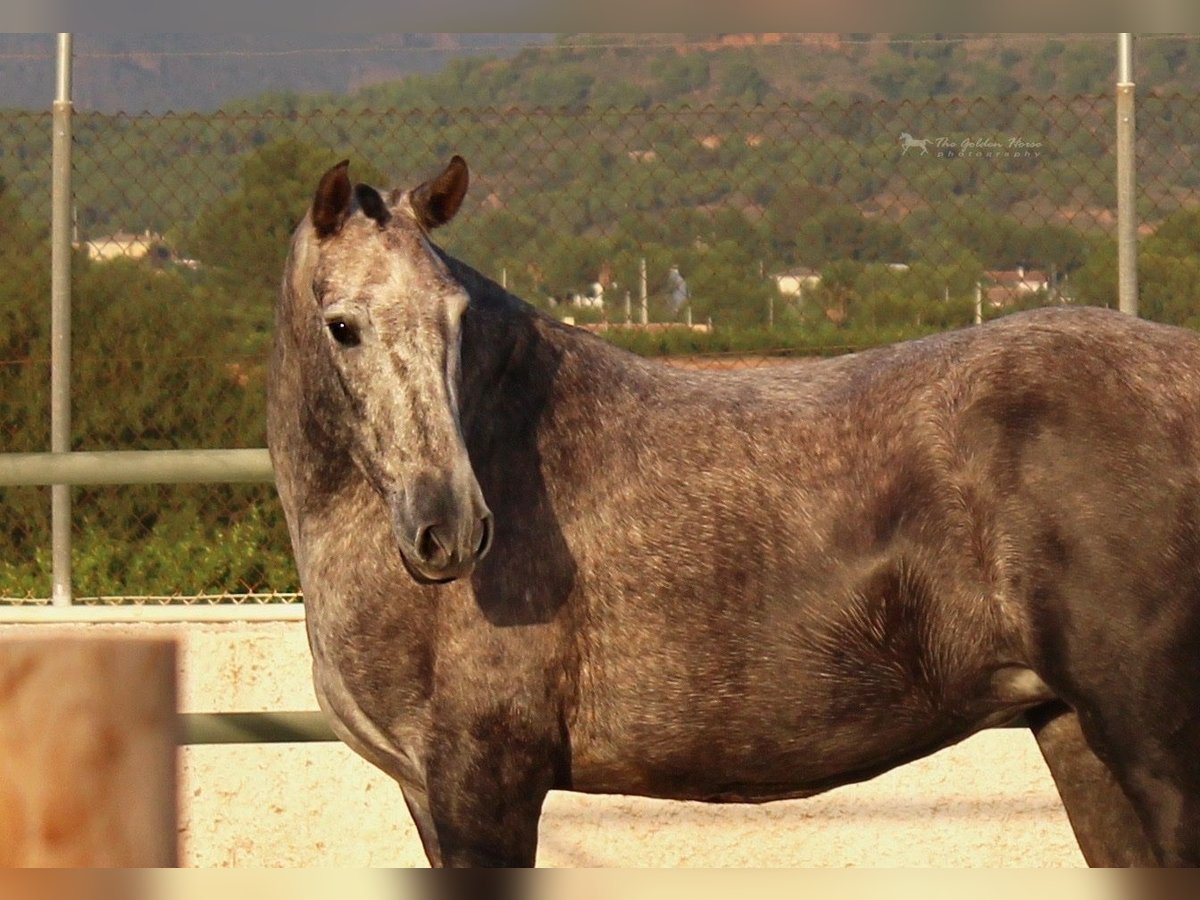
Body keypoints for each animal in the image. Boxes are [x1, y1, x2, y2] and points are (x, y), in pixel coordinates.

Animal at [270, 154, 1200, 868]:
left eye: (455, 317)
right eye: (343, 325)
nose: (450, 529)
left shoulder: (485, 785)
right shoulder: (430, 795)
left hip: (1154, 752)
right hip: (1076, 737)